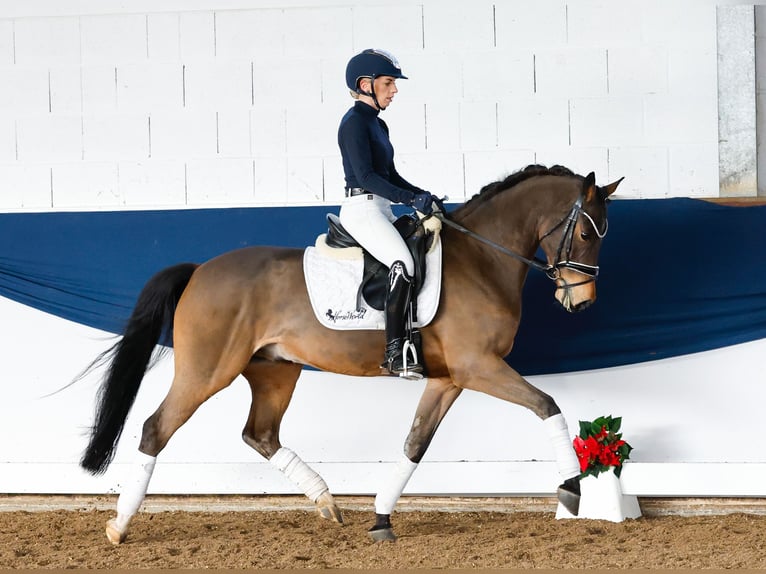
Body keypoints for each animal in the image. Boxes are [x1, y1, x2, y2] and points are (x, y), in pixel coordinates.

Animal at [81, 165, 624, 544]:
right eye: (584, 232)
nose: (583, 302)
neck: (483, 259)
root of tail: (199, 270)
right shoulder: (479, 367)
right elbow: (547, 405)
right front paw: (572, 487)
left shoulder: (449, 378)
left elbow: (415, 443)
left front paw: (381, 517)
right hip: (207, 371)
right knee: (156, 429)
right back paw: (119, 527)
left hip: (275, 372)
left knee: (260, 434)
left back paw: (326, 501)